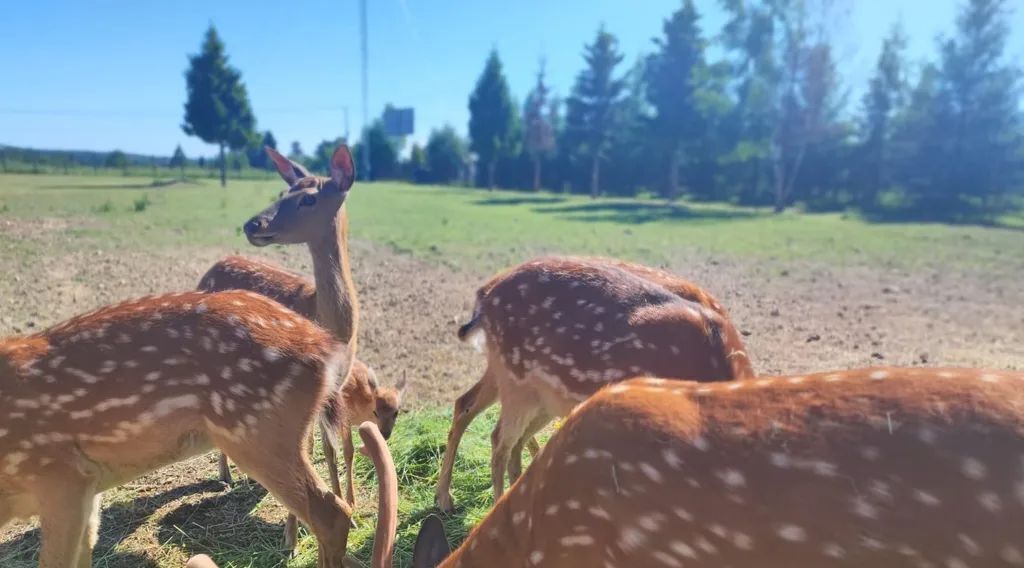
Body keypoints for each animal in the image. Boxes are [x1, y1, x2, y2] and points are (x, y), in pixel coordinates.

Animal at [199, 144, 403, 517]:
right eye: (283, 192)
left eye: (309, 198)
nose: (253, 223)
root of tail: (209, 270)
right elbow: (316, 450)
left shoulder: (335, 388)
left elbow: (336, 448)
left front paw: (350, 503)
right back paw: (225, 476)